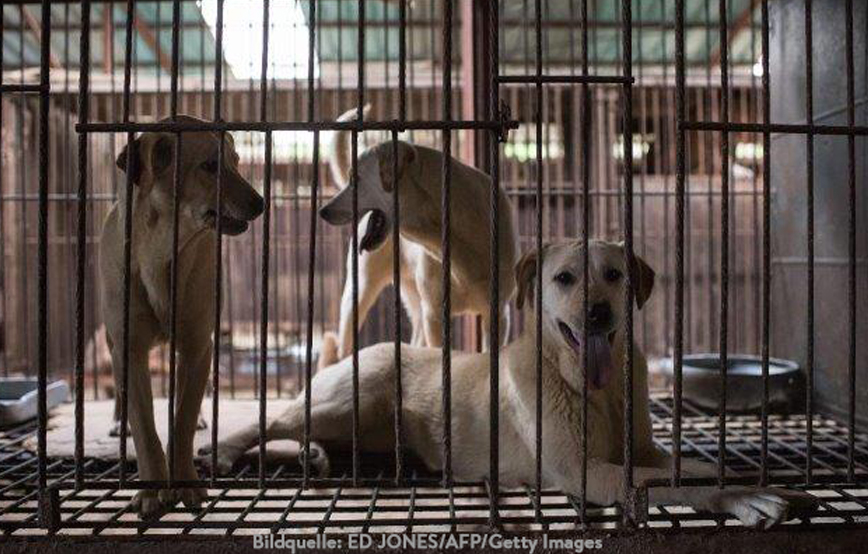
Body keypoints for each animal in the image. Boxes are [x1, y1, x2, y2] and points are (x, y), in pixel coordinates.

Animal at [207, 238, 816, 528]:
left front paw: (760, 485)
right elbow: (672, 481)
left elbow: (688, 466)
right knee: (272, 418)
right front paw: (747, 496)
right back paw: (220, 451)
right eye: (564, 278)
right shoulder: (584, 470)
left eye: (614, 275)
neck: (597, 393)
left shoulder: (640, 449)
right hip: (346, 397)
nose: (596, 313)